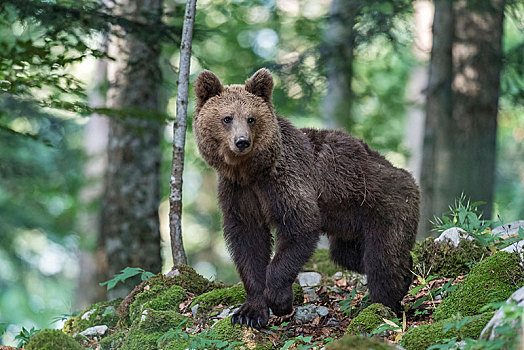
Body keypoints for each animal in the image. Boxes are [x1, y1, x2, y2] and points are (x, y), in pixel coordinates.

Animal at [193, 69, 422, 330]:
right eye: (227, 118)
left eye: (251, 118)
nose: (242, 141)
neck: (250, 172)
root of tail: (405, 174)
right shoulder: (239, 194)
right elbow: (248, 242)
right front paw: (249, 313)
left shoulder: (285, 181)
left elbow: (299, 227)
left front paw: (280, 300)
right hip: (350, 225)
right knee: (349, 256)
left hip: (385, 204)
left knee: (382, 259)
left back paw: (383, 304)